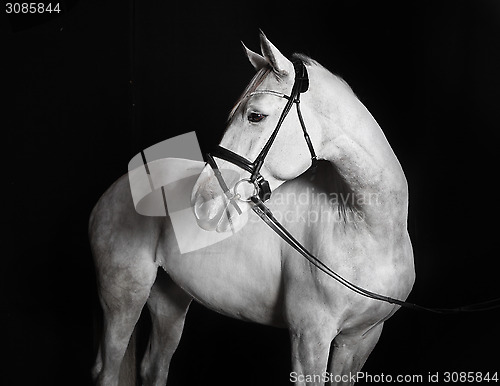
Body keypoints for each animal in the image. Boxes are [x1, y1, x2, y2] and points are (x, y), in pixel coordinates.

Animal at [90, 32, 414, 382]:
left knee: (154, 367)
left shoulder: (361, 339)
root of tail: (116, 189)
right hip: (124, 298)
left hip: (170, 299)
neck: (363, 231)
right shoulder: (309, 338)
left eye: (255, 115)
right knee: (108, 371)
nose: (202, 196)